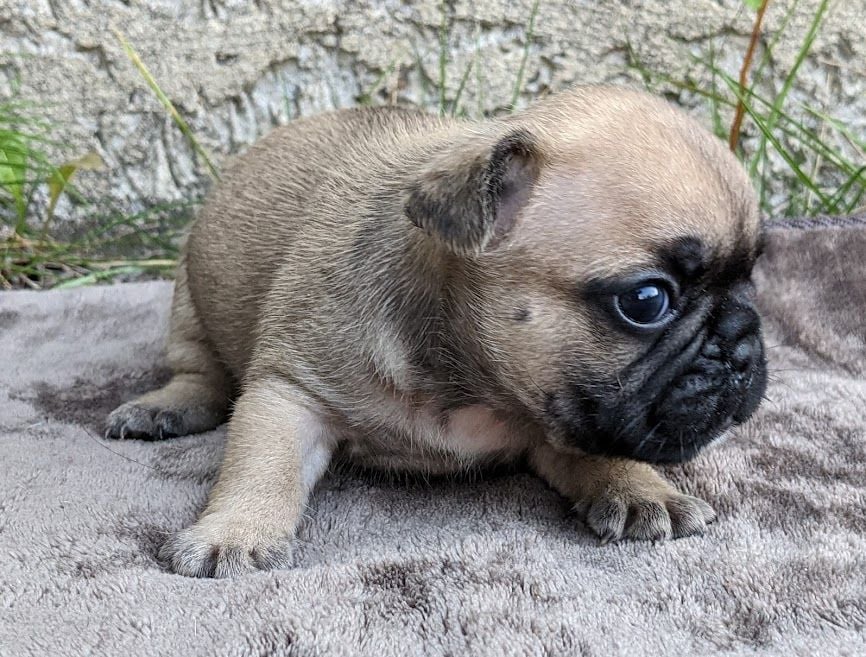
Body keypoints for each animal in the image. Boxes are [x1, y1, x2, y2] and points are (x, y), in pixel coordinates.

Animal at [107, 86, 767, 578]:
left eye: (753, 275)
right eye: (647, 300)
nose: (741, 342)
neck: (468, 373)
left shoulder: (562, 408)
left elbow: (593, 448)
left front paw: (639, 489)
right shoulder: (289, 391)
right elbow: (263, 463)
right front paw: (234, 532)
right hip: (187, 300)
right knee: (200, 371)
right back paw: (164, 407)